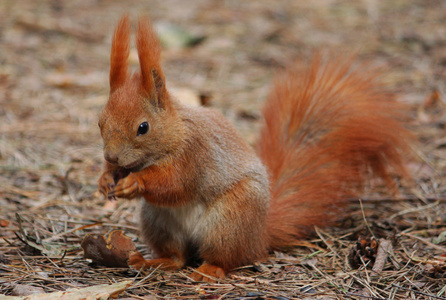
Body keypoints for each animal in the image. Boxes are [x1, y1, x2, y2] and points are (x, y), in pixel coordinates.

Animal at [97, 15, 414, 280]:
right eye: (100, 122)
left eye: (143, 127)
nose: (112, 156)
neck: (176, 133)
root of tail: (259, 237)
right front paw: (105, 179)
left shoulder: (194, 155)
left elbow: (174, 183)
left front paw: (135, 182)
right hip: (159, 221)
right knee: (177, 257)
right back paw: (153, 261)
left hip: (230, 221)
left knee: (225, 258)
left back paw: (209, 271)